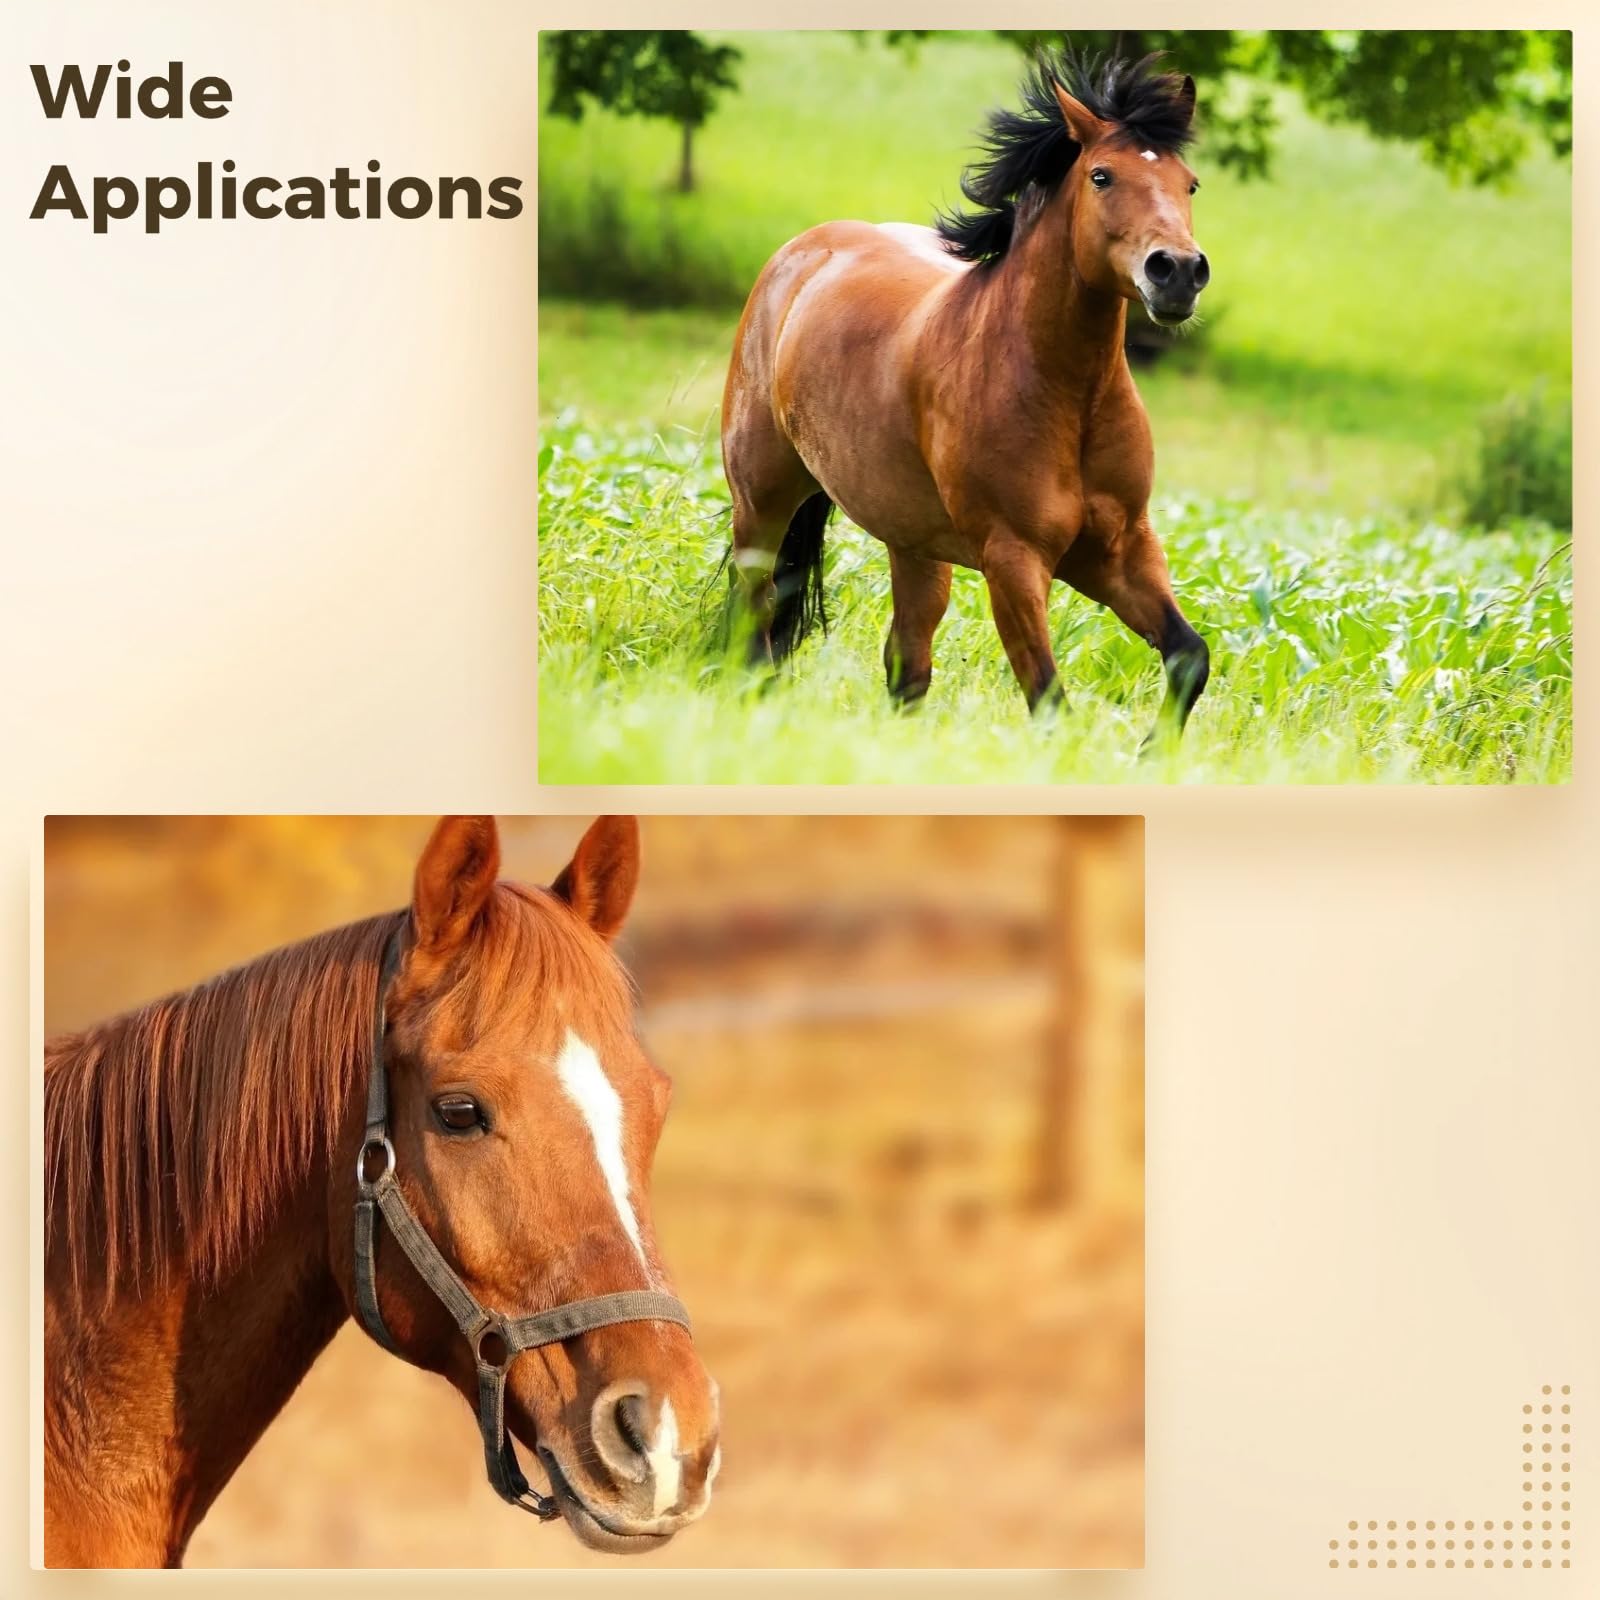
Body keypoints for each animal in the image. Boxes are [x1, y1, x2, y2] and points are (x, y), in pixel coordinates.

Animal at [721, 49, 1212, 744]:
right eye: (1101, 176)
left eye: (1189, 183)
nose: (1178, 272)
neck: (1070, 398)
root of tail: (801, 255)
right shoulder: (1013, 560)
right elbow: (1051, 702)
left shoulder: (1120, 550)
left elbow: (1189, 656)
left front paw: (1151, 753)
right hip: (761, 506)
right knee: (756, 623)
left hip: (915, 547)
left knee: (906, 665)